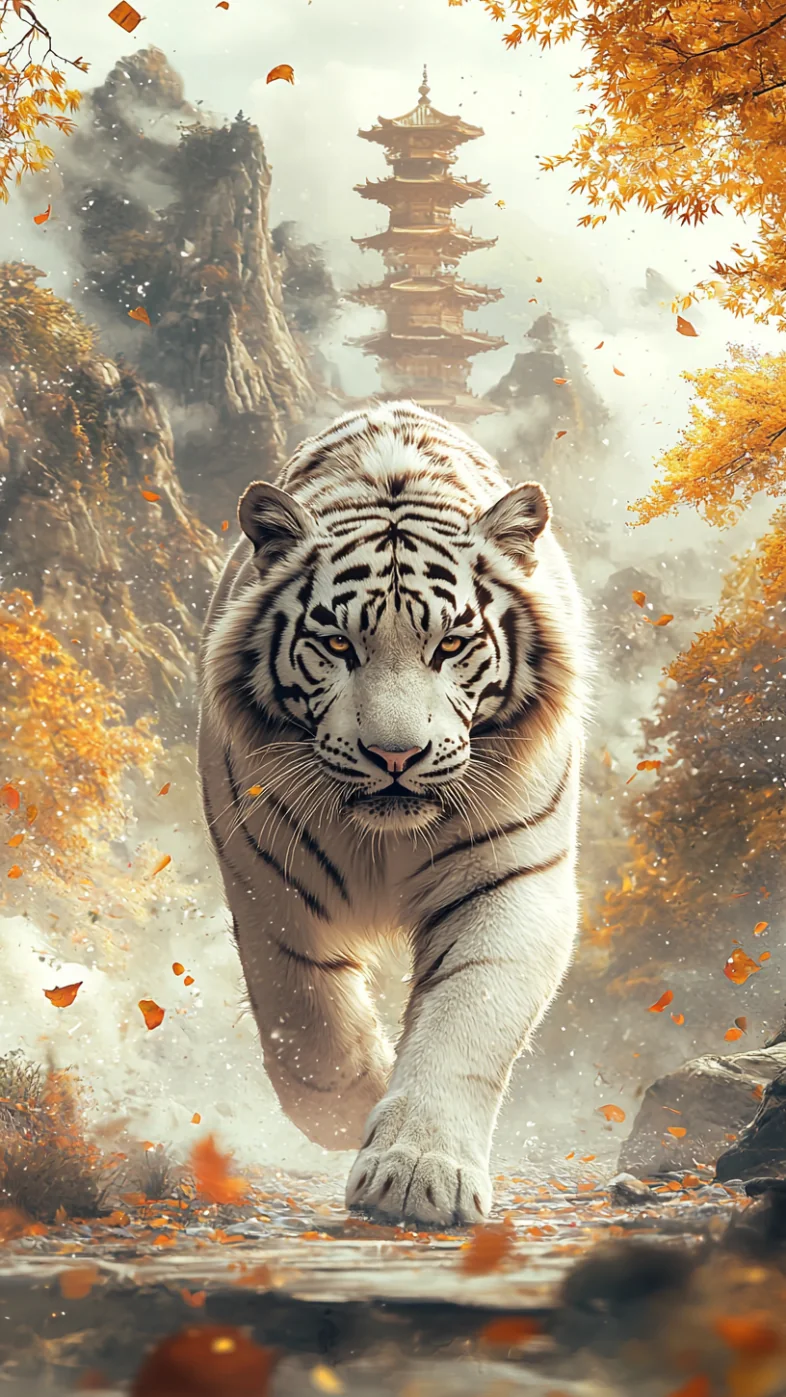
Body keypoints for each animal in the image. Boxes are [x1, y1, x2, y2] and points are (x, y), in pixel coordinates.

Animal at [197, 399, 586, 1227]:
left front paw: (415, 1171)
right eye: (338, 643)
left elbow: (465, 1018)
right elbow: (305, 1024)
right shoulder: (267, 880)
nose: (396, 755)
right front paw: (363, 1102)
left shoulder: (510, 879)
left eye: (452, 644)